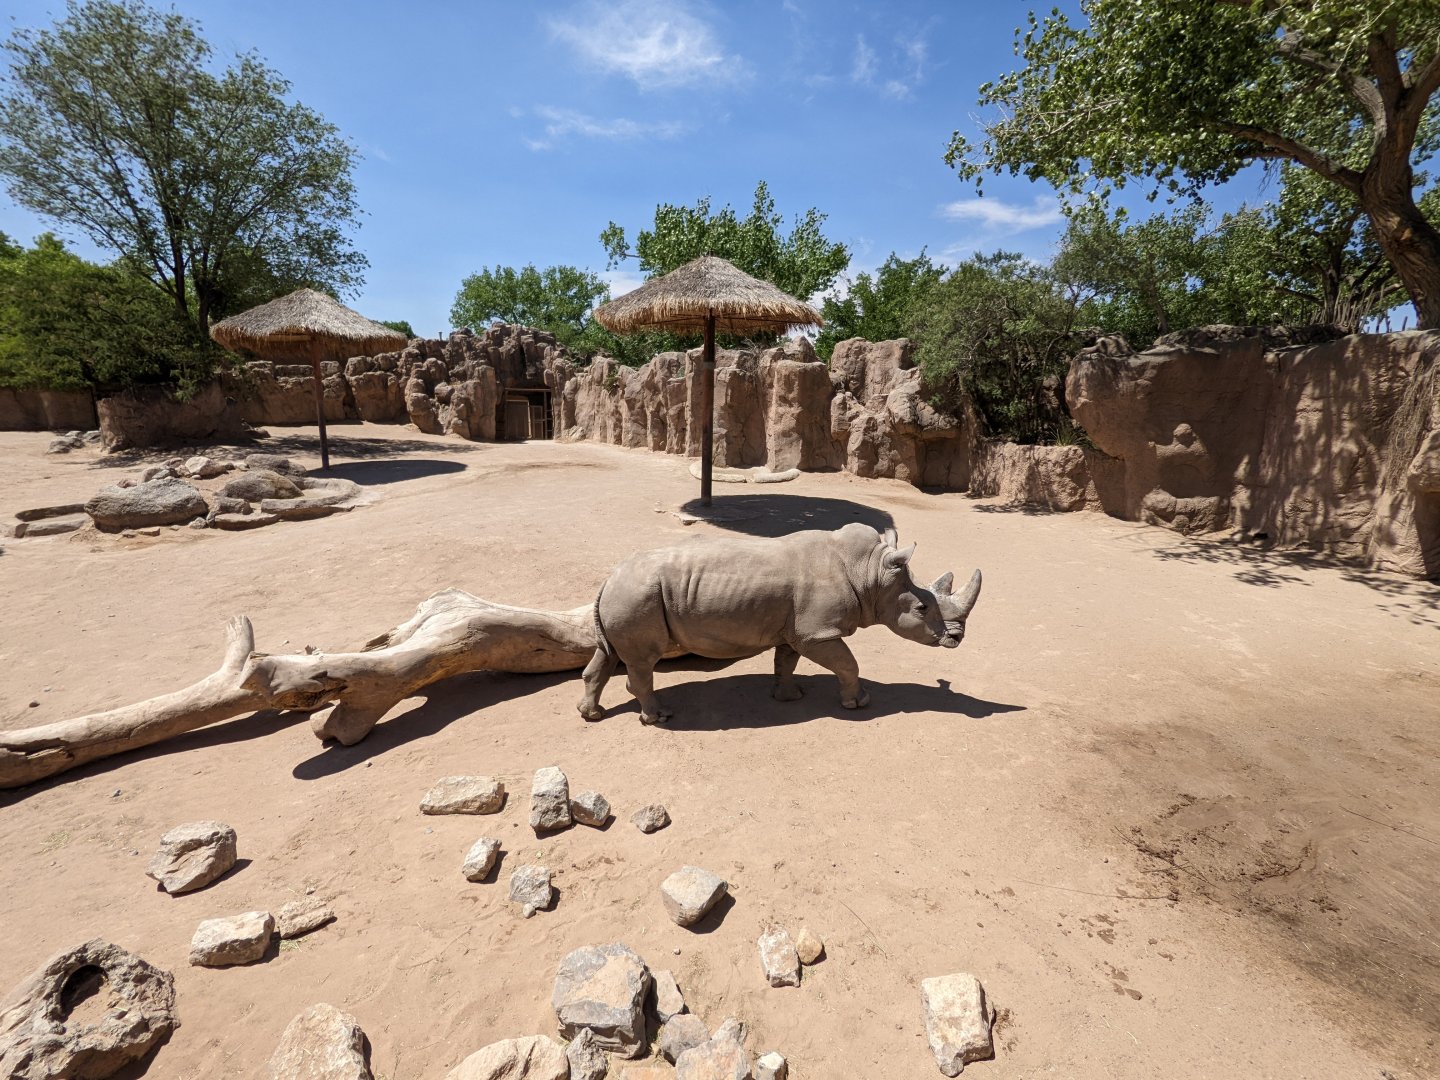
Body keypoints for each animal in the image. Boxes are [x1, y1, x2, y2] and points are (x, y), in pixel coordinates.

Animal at [577, 522, 981, 725]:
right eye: (922, 608)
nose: (957, 638)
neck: (870, 573)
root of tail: (607, 580)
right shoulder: (819, 633)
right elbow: (848, 663)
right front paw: (859, 703)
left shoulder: (798, 629)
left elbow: (786, 661)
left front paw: (789, 697)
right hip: (637, 597)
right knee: (642, 661)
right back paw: (659, 718)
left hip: (627, 596)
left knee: (608, 654)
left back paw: (592, 715)